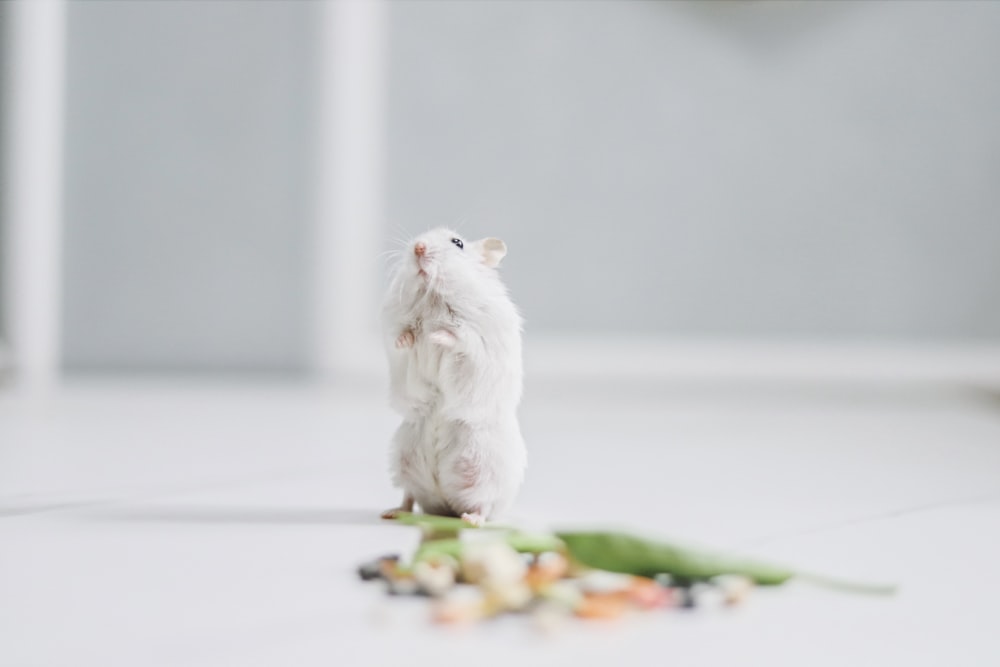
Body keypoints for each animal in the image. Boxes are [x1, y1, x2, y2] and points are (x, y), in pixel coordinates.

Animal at [378, 230, 528, 528]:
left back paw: (472, 519)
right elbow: (402, 337)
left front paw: (436, 335)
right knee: (409, 495)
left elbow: (459, 337)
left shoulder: (478, 337)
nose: (418, 247)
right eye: (420, 237)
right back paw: (392, 512)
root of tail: (445, 503)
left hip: (485, 467)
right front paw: (410, 339)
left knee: (483, 502)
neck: (432, 295)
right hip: (404, 456)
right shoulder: (394, 325)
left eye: (457, 243)